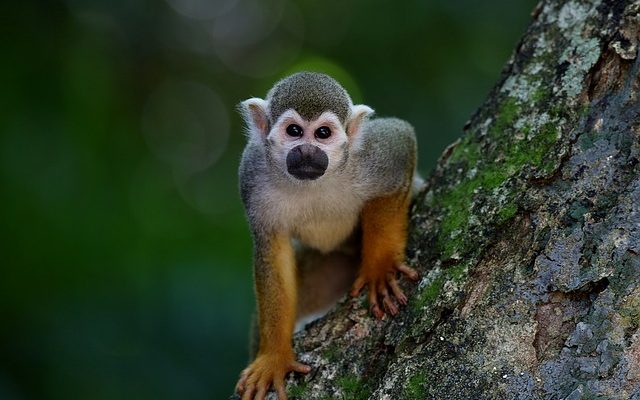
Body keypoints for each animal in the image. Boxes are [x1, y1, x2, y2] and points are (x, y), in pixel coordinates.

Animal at [235, 72, 420, 400]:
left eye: (323, 133)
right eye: (294, 131)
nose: (307, 152)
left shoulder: (371, 155)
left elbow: (401, 141)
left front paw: (380, 267)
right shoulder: (252, 175)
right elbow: (272, 252)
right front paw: (273, 357)